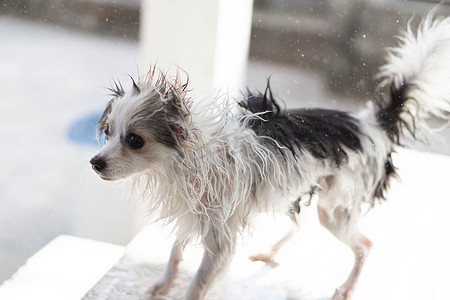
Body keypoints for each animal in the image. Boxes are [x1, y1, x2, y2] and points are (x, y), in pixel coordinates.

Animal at [89, 14, 450, 300]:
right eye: (107, 132)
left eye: (134, 140)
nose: (95, 163)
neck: (188, 161)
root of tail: (372, 124)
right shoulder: (194, 213)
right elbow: (176, 251)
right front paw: (164, 282)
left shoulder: (221, 240)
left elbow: (197, 285)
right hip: (301, 191)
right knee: (302, 224)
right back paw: (271, 251)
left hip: (335, 210)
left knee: (365, 246)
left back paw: (346, 289)